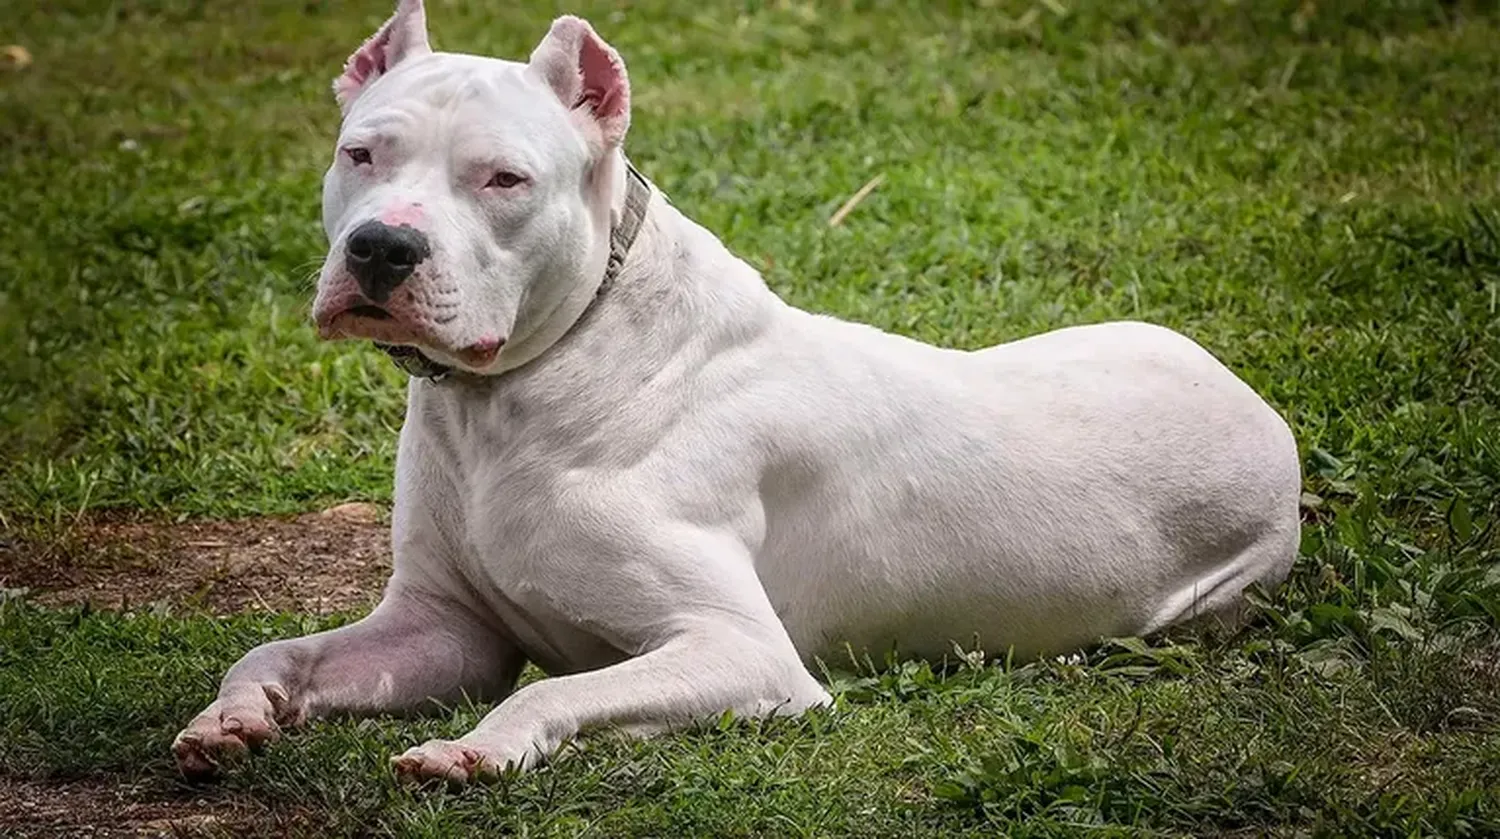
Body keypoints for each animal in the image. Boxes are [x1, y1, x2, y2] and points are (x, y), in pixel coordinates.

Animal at [172, 1, 1302, 786]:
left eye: (503, 179)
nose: (381, 247)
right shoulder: (444, 630)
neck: (523, 386)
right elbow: (278, 646)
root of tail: (1257, 406)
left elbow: (567, 686)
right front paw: (233, 716)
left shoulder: (743, 652)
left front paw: (477, 749)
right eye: (361, 153)